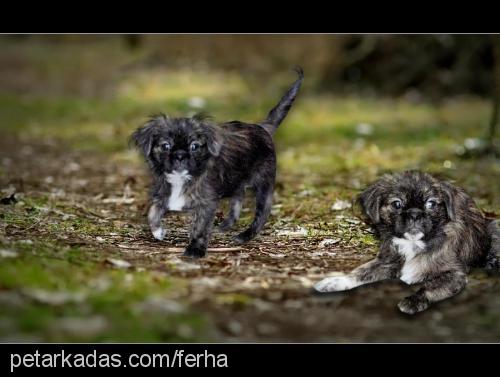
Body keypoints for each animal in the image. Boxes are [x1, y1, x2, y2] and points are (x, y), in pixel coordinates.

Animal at [131, 67, 302, 258]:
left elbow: (200, 228)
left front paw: (195, 250)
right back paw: (225, 225)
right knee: (238, 199)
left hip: (263, 184)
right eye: (165, 146)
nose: (180, 155)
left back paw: (244, 236)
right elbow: (153, 211)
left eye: (195, 146)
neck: (182, 179)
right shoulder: (163, 191)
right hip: (235, 181)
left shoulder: (207, 203)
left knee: (262, 212)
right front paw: (158, 231)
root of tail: (262, 128)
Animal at [314, 171, 498, 314]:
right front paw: (336, 281)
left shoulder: (454, 275)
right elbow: (359, 272)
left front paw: (413, 301)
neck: (413, 244)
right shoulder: (386, 262)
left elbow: (429, 288)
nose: (415, 214)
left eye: (431, 203)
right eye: (397, 204)